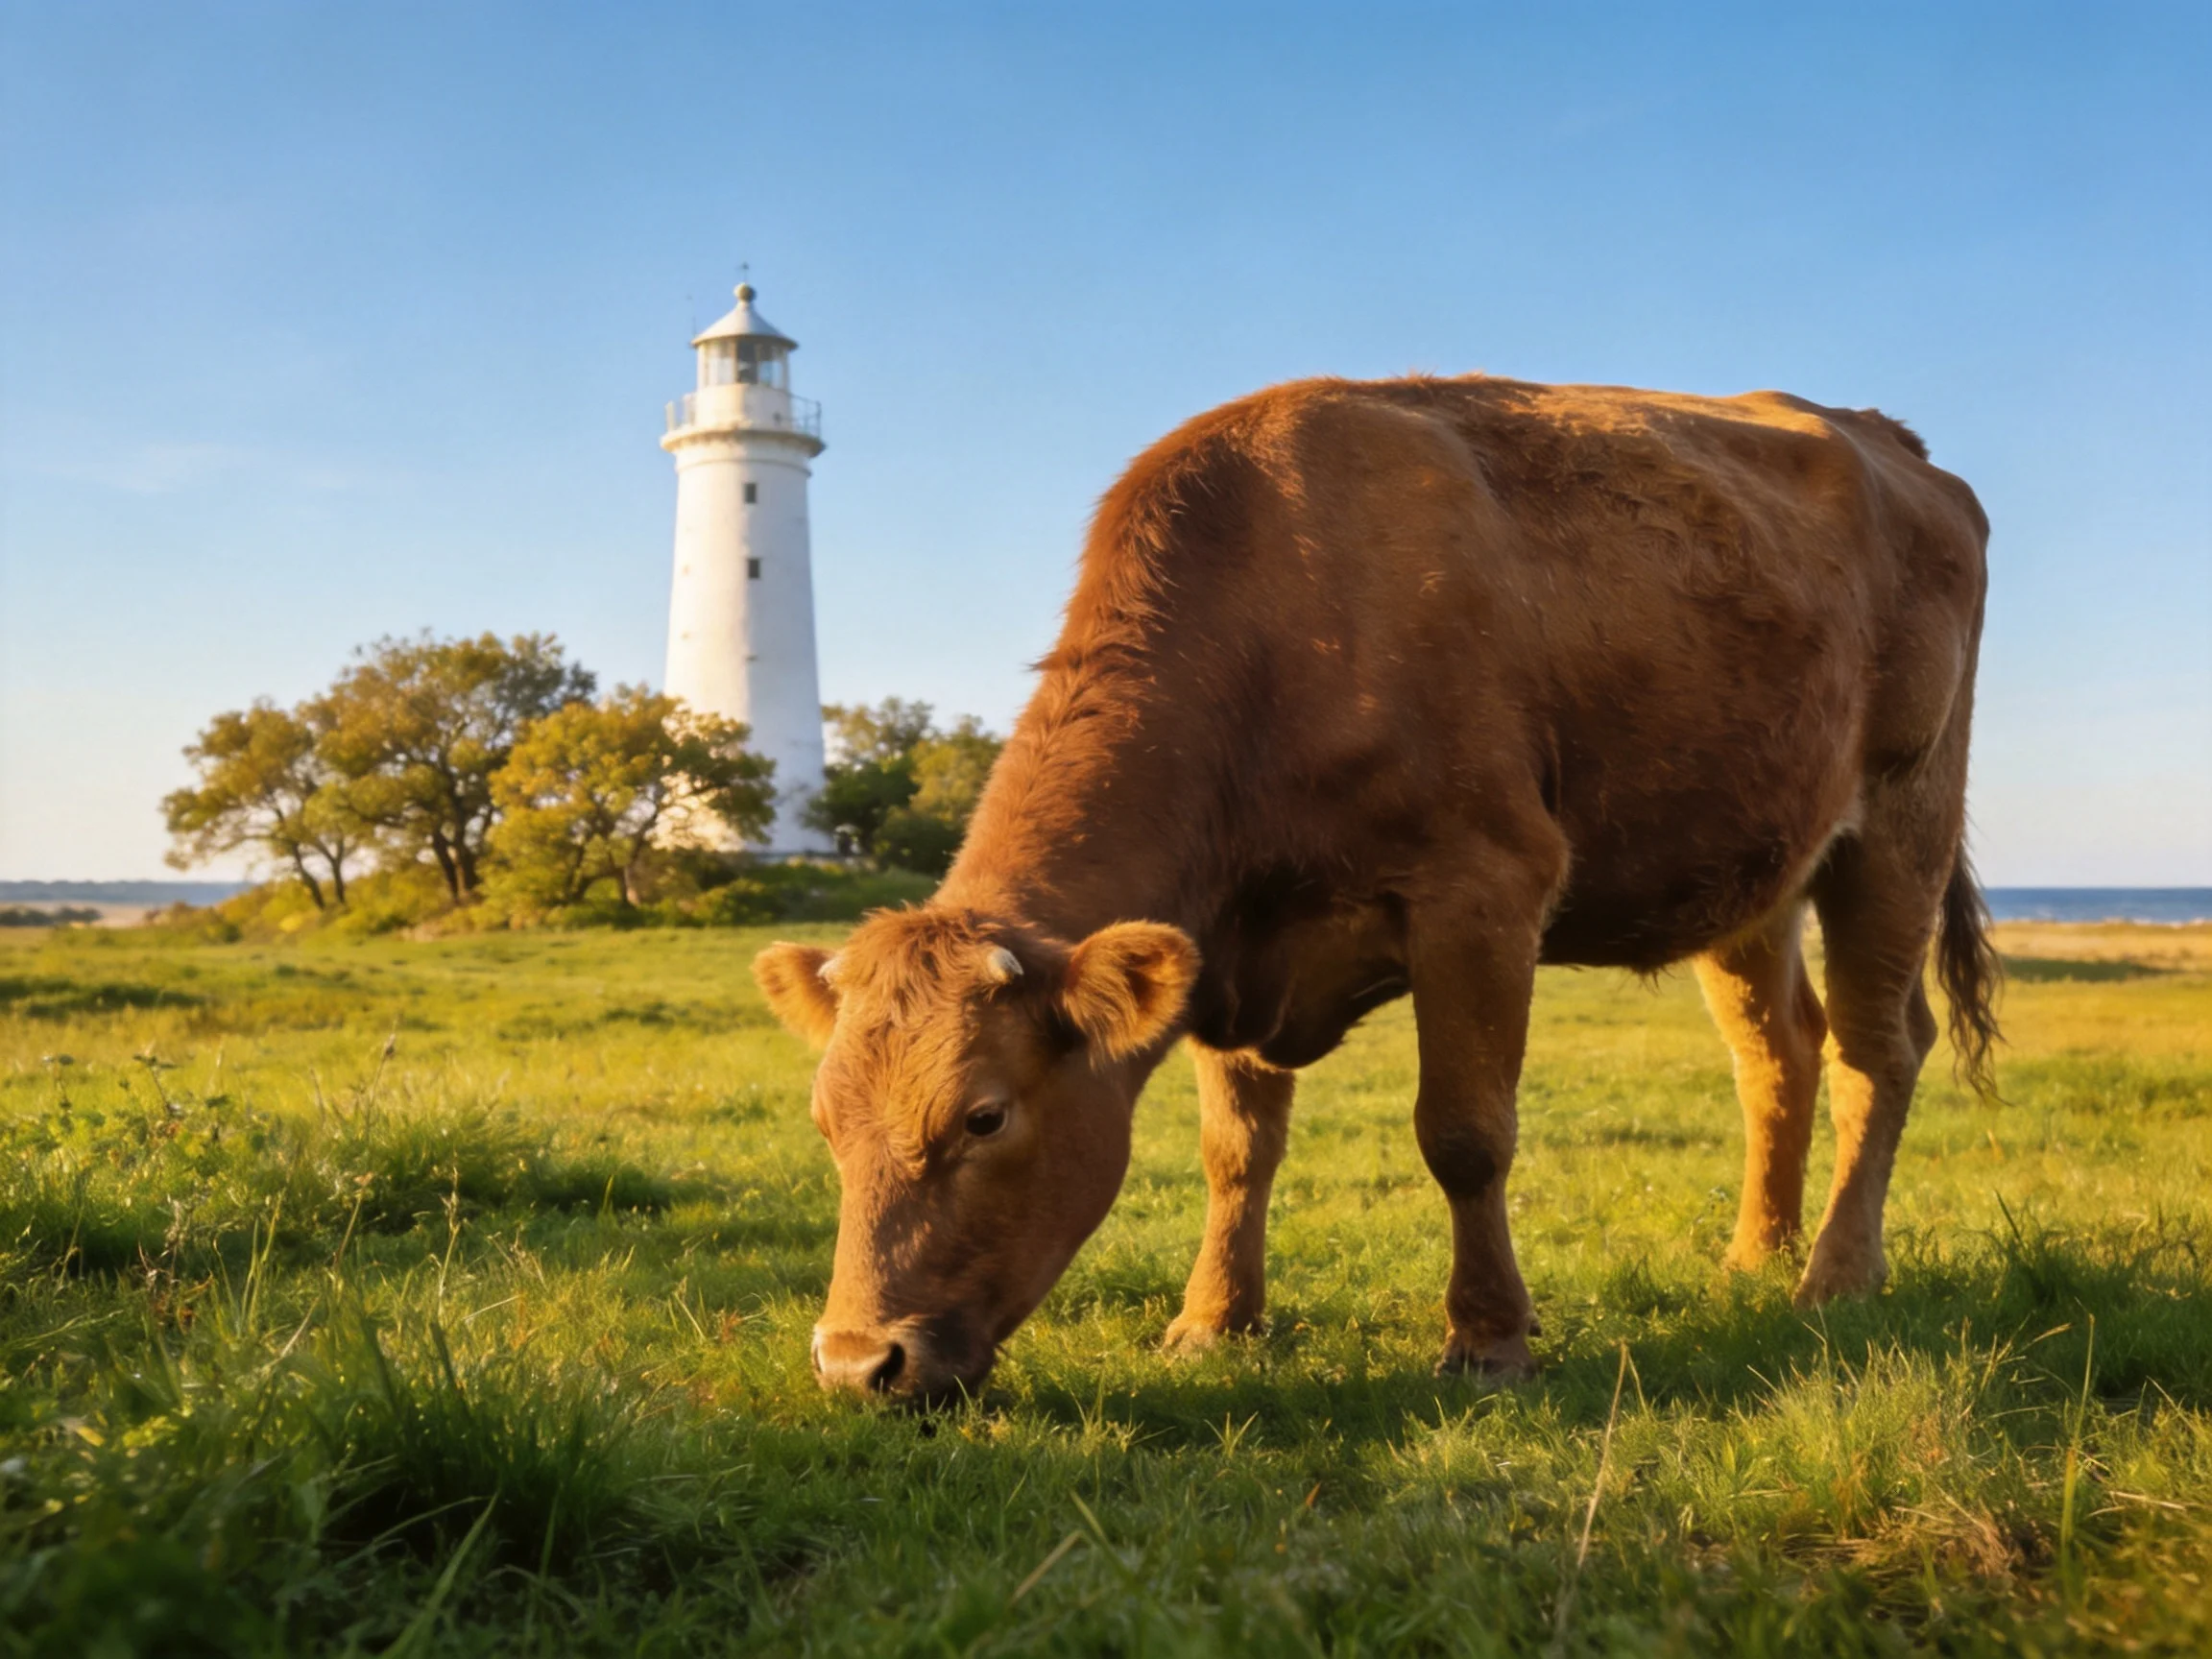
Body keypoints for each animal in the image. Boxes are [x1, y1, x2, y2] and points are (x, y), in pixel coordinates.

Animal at [755, 374, 1999, 1403]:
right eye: (822, 1117)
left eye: (984, 1115)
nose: (858, 1362)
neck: (1282, 618)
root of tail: (1890, 440)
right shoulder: (1228, 947)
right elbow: (1237, 1149)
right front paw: (1215, 1321)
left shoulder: (1485, 891)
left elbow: (1465, 1135)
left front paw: (1488, 1343)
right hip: (1754, 870)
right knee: (1777, 1051)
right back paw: (1754, 1255)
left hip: (1902, 819)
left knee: (1876, 1049)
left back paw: (1835, 1276)